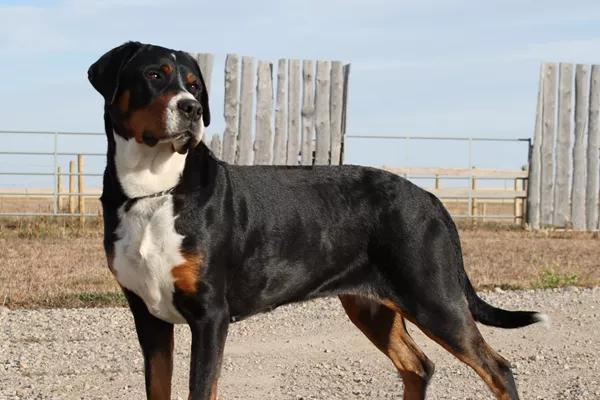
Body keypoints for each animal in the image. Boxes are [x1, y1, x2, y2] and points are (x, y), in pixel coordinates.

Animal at [86, 41, 552, 400]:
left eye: (195, 84)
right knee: (418, 366)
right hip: (373, 306)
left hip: (433, 298)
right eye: (155, 75)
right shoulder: (148, 316)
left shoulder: (210, 316)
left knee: (498, 368)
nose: (192, 109)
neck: (155, 191)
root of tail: (430, 198)